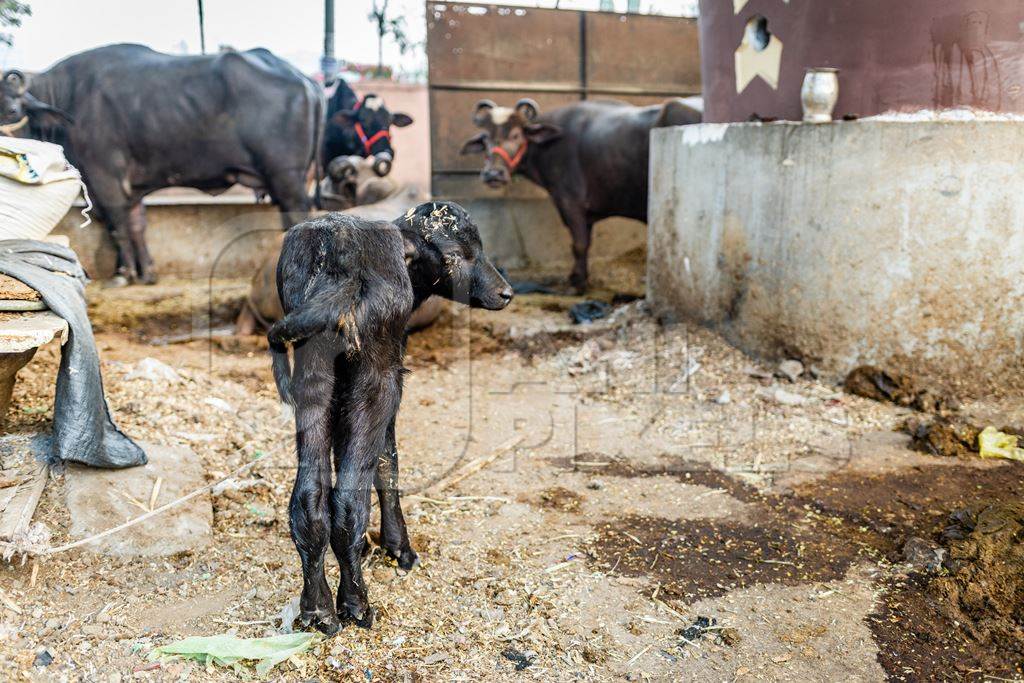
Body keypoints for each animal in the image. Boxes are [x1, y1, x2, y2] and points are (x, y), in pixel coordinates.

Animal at [0, 44, 323, 286]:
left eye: (12, 109)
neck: (69, 97)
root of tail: (305, 81)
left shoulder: (104, 178)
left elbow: (117, 225)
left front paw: (124, 273)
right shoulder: (131, 187)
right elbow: (136, 224)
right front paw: (147, 271)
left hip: (287, 177)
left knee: (297, 216)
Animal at [460, 97, 700, 292]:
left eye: (516, 134)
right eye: (485, 138)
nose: (493, 174)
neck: (550, 144)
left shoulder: (570, 202)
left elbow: (578, 244)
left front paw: (577, 283)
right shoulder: (587, 214)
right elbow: (585, 242)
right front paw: (579, 277)